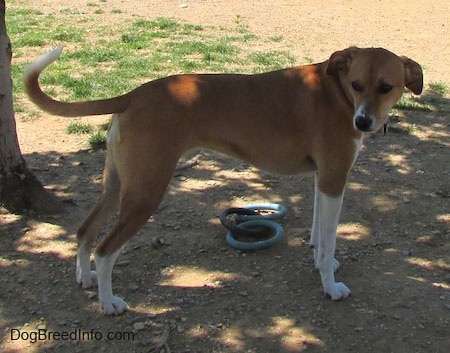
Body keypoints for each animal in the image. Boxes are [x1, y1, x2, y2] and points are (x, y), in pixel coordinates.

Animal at [22, 46, 424, 314]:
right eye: (356, 85)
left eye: (386, 87)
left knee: (85, 231)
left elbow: (317, 236)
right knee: (106, 249)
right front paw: (330, 285)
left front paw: (322, 260)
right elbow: (328, 241)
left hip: (117, 184)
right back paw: (108, 302)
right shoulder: (334, 179)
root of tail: (135, 94)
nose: (363, 122)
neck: (336, 92)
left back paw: (85, 279)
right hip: (145, 193)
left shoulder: (322, 179)